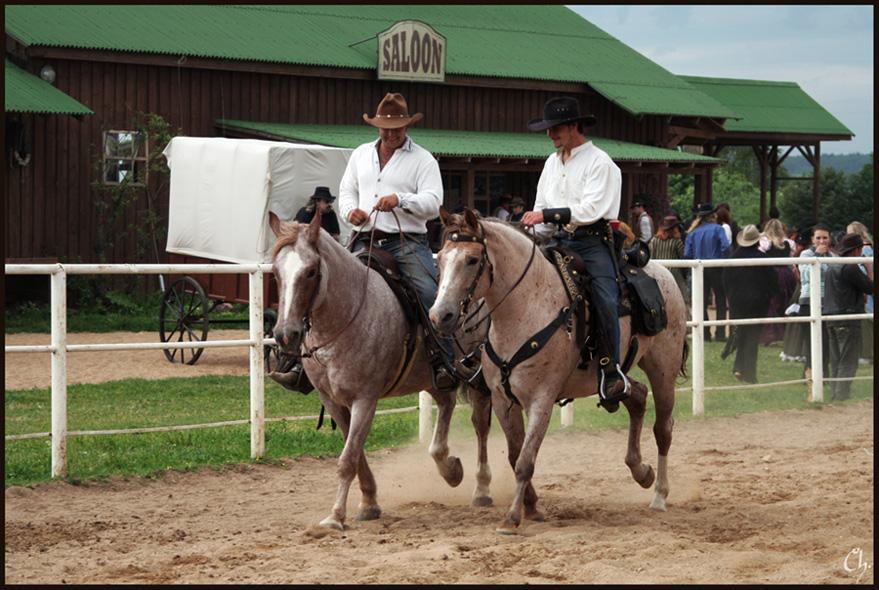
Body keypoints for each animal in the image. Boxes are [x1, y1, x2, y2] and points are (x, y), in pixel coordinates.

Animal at [266, 209, 496, 532]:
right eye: (275, 272)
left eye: (310, 271)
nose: (285, 335)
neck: (346, 318)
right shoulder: (331, 400)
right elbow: (356, 453)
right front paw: (368, 503)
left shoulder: (365, 399)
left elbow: (348, 458)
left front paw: (336, 516)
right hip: (432, 378)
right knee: (446, 404)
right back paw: (449, 468)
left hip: (478, 376)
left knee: (480, 425)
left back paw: (482, 489)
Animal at [430, 210, 692, 540]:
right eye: (440, 259)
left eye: (472, 259)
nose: (440, 316)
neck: (527, 308)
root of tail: (663, 273)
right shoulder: (503, 400)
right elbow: (515, 454)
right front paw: (531, 506)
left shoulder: (541, 400)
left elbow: (525, 461)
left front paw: (512, 519)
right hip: (616, 376)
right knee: (638, 397)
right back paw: (642, 471)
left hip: (663, 370)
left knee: (663, 429)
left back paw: (659, 495)